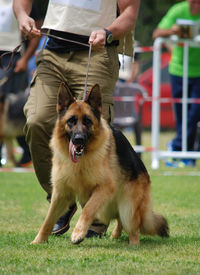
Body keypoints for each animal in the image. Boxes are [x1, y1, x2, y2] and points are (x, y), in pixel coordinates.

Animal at [31, 82, 169, 246]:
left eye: (87, 121)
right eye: (71, 121)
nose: (78, 139)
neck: (81, 160)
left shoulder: (104, 188)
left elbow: (88, 209)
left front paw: (78, 233)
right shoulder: (60, 193)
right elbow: (48, 219)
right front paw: (38, 241)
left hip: (127, 208)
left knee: (133, 228)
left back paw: (133, 244)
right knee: (120, 221)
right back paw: (115, 236)